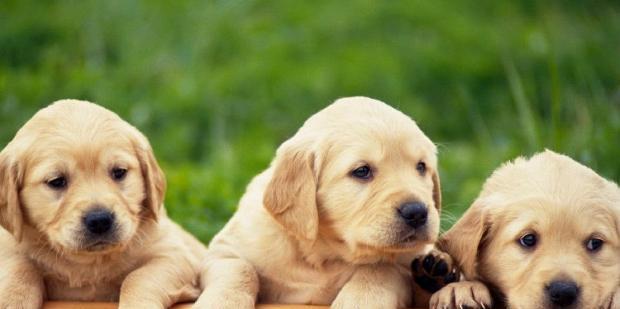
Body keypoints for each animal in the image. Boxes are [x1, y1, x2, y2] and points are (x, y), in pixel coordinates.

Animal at [0, 100, 208, 306]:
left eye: (119, 172)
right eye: (56, 181)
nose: (100, 220)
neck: (90, 261)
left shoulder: (175, 255)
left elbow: (137, 278)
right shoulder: (9, 250)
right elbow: (19, 269)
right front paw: (11, 299)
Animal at [196, 97, 444, 308]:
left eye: (421, 167)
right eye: (362, 171)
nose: (417, 212)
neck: (324, 254)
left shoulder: (406, 260)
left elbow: (381, 268)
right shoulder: (224, 250)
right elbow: (240, 268)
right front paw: (221, 302)